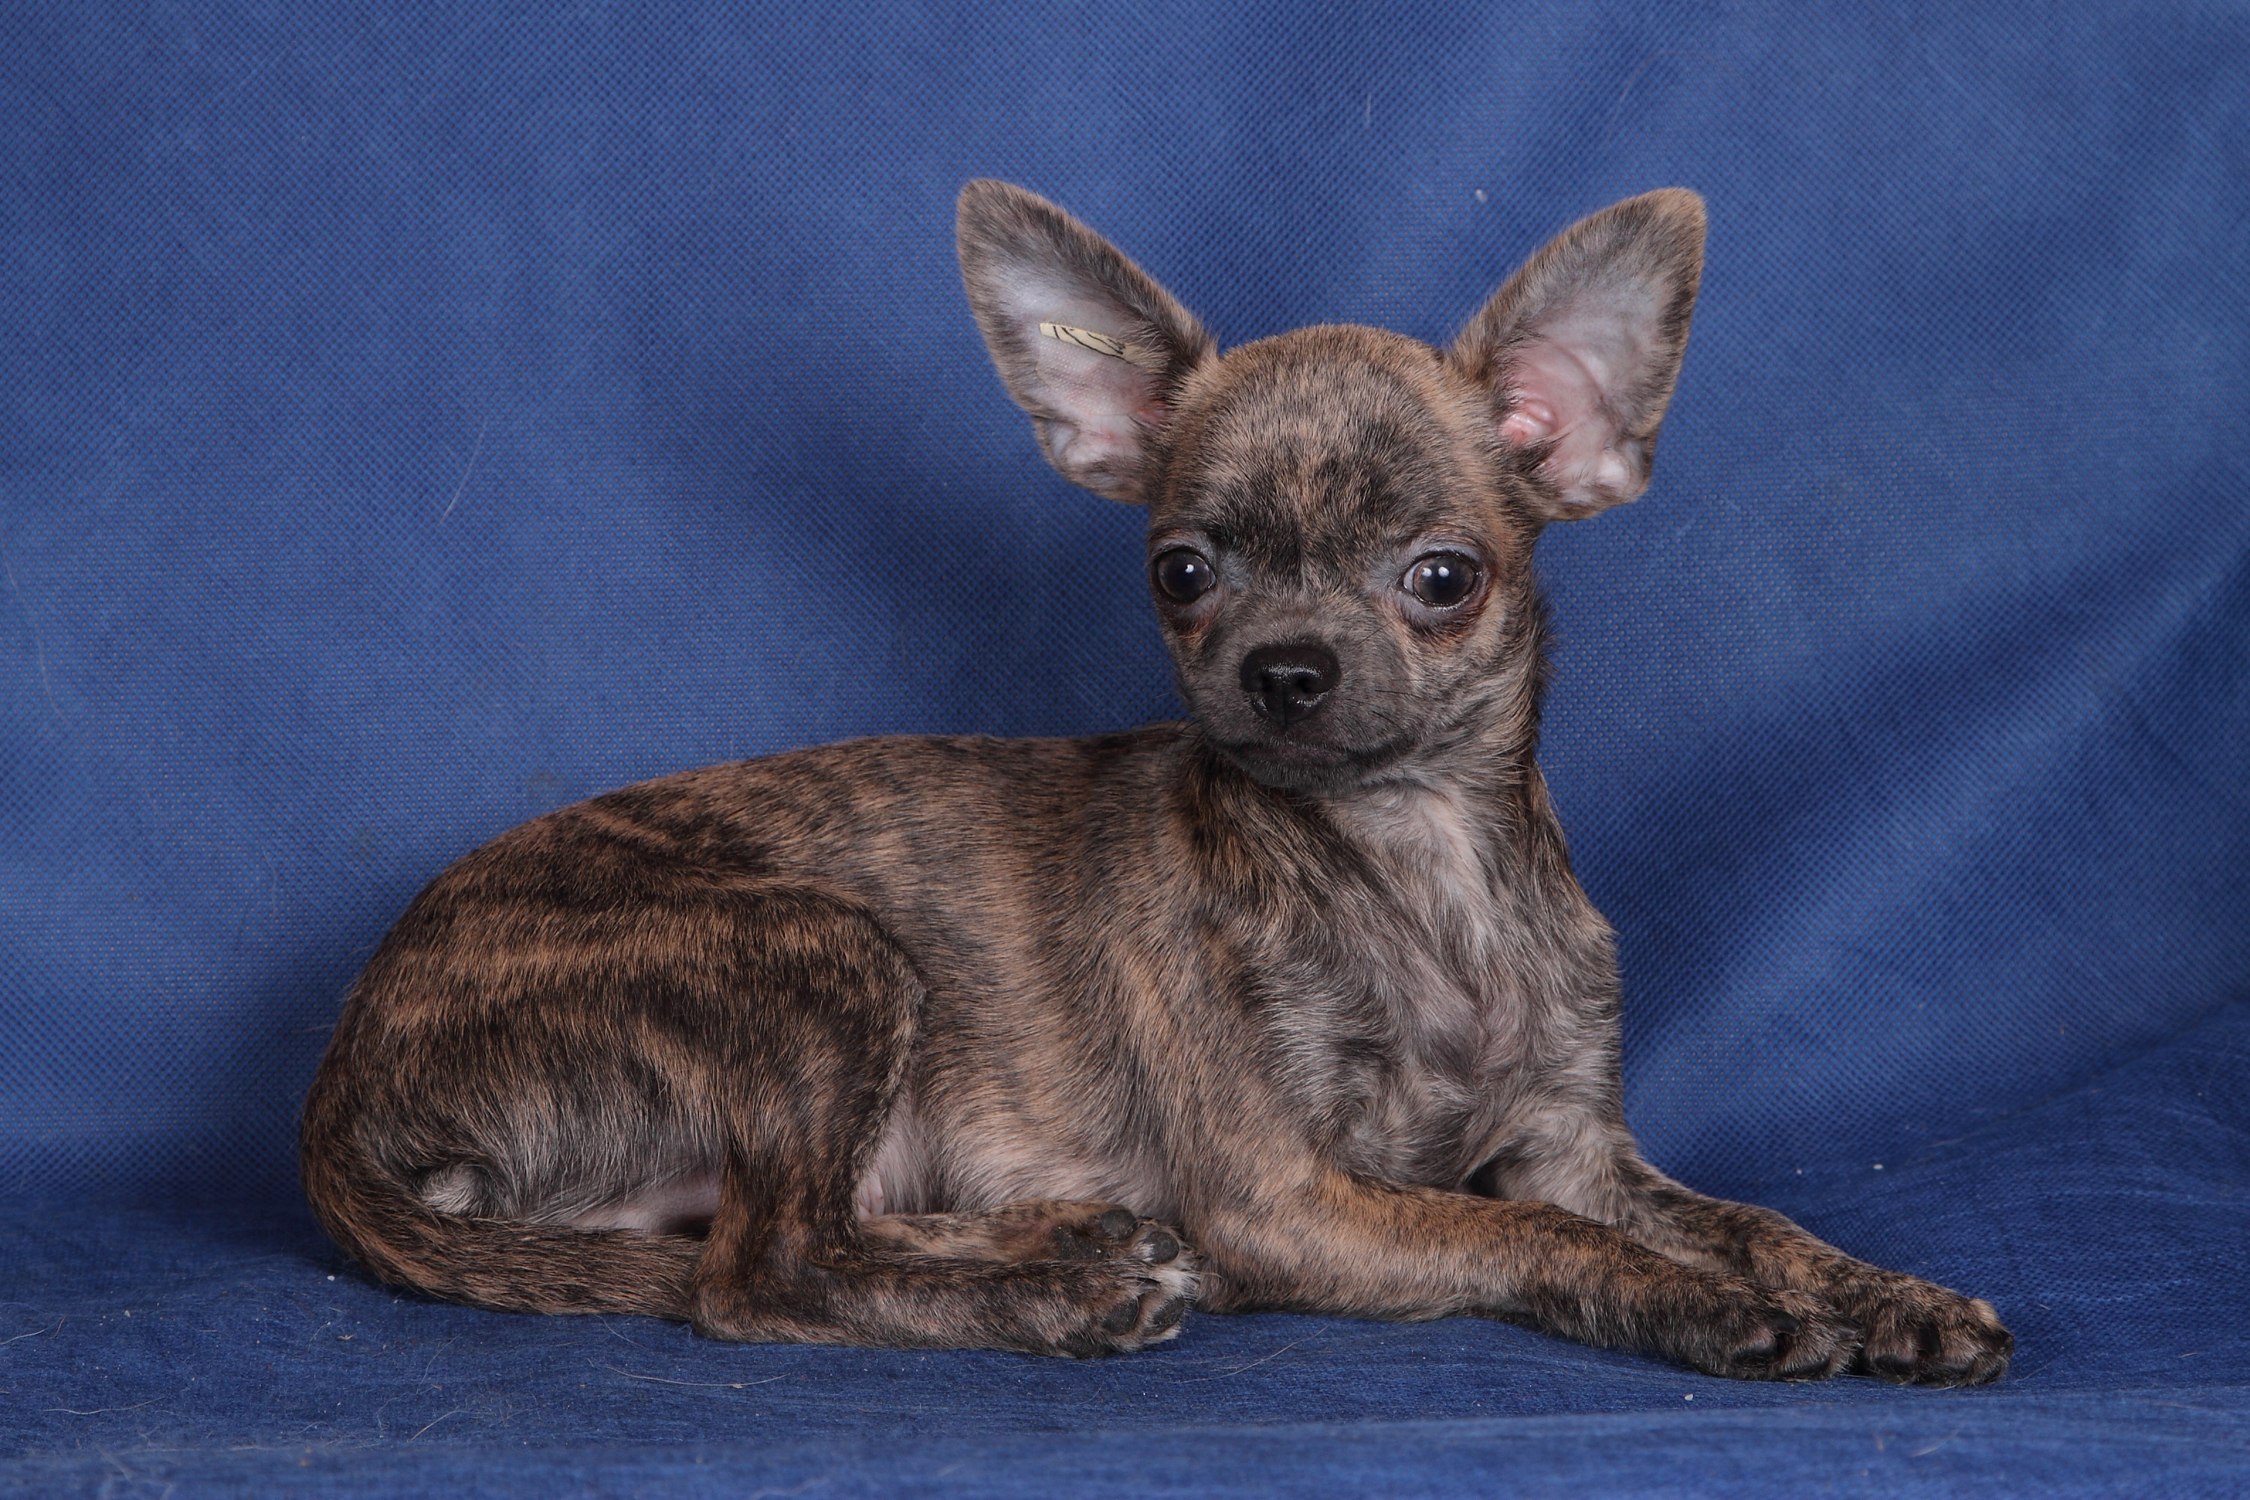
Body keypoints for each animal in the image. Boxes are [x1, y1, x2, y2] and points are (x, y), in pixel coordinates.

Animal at [300, 180, 2012, 1383]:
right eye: (1180, 572)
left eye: (1442, 579)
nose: (1285, 668)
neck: (1408, 857)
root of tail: (339, 1083)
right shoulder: (1292, 1199)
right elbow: (1513, 1226)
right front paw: (1701, 1305)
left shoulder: (1573, 1142)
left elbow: (1749, 1219)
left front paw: (1885, 1294)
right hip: (816, 949)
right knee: (759, 1269)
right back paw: (1056, 1298)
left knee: (791, 1218)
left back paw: (1061, 1234)